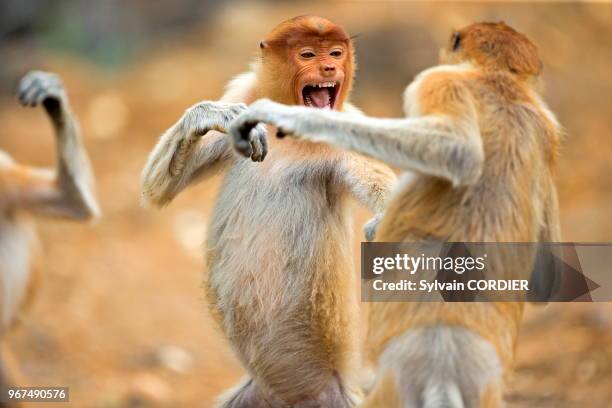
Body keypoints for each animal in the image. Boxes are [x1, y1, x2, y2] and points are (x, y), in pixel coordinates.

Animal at [139, 15, 396, 408]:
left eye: (336, 53)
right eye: (308, 54)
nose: (330, 68)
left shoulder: (347, 129)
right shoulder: (244, 94)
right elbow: (156, 190)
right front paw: (212, 115)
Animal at [230, 23, 560, 408]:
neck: (499, 81)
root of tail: (443, 360)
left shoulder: (436, 80)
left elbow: (457, 151)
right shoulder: (548, 130)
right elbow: (544, 279)